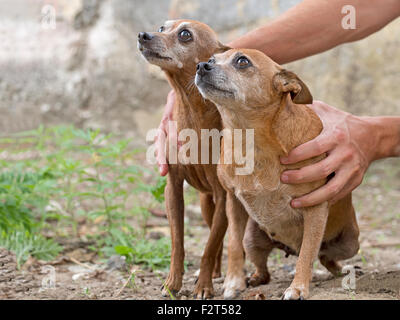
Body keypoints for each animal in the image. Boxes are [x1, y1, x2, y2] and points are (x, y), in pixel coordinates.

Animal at [138, 20, 231, 300]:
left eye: (185, 35)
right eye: (162, 27)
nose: (143, 34)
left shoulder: (224, 197)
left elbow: (208, 247)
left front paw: (203, 287)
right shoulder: (173, 189)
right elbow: (178, 243)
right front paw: (172, 282)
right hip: (206, 205)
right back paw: (215, 272)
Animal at [195, 48, 360, 300]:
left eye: (242, 61)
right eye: (212, 59)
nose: (201, 65)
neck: (250, 139)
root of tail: (287, 248)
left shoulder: (315, 207)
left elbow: (307, 252)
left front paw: (298, 287)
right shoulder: (233, 202)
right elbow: (233, 244)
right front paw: (233, 281)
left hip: (351, 243)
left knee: (323, 256)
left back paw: (340, 270)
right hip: (252, 239)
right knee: (265, 269)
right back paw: (253, 279)